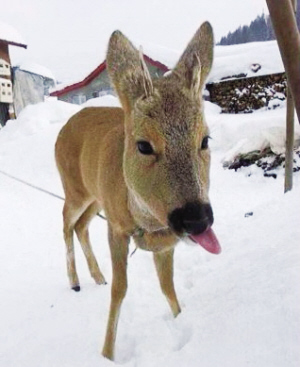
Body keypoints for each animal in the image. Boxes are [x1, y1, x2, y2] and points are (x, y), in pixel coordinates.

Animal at [55, 21, 220, 360]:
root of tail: (63, 129)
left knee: (80, 226)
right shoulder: (116, 228)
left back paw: (96, 276)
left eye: (205, 140)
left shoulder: (166, 241)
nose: (197, 219)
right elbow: (121, 290)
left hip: (95, 198)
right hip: (73, 187)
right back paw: (75, 281)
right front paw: (107, 354)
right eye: (143, 145)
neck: (146, 222)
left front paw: (181, 320)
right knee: (65, 221)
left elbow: (167, 286)